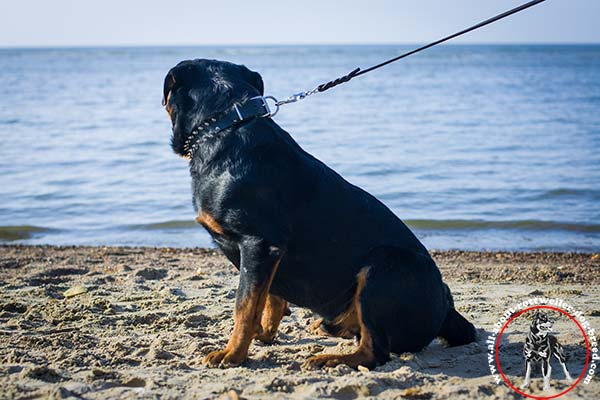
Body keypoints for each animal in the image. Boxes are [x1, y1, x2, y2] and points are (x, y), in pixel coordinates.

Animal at [162, 58, 476, 368]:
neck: (225, 124)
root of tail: (447, 309)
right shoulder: (269, 256)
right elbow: (268, 299)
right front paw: (263, 334)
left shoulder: (258, 244)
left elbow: (244, 305)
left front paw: (233, 354)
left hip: (384, 267)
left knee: (374, 351)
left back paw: (329, 359)